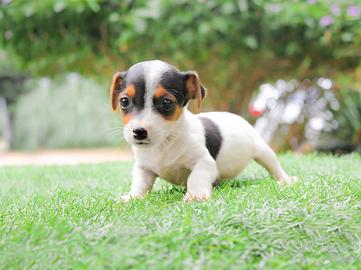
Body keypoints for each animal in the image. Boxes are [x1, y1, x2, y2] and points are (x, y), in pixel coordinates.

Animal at [109, 59, 296, 202]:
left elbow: (195, 178)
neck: (164, 144)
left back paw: (286, 180)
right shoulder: (143, 168)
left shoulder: (204, 162)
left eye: (166, 103)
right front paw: (132, 197)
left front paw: (195, 196)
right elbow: (140, 184)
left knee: (275, 167)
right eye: (124, 101)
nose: (139, 131)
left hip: (263, 151)